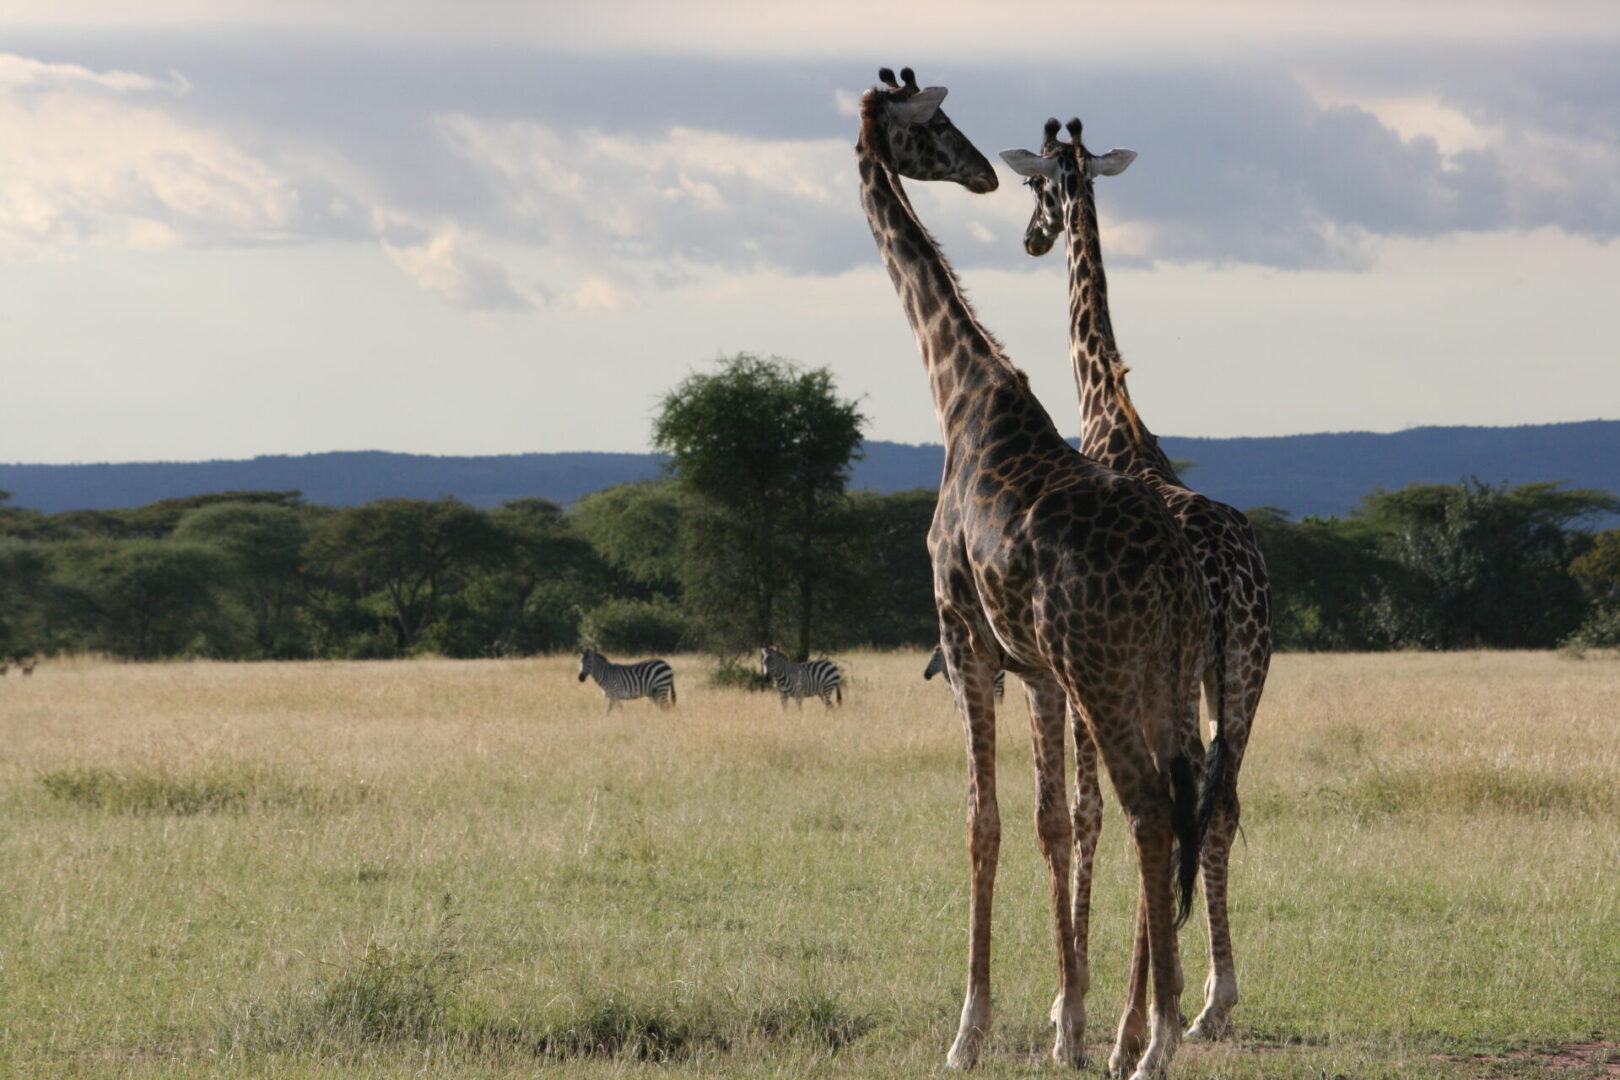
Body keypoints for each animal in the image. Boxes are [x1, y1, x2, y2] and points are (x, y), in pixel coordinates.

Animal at [855, 68, 1220, 1078]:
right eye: (939, 127)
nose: (980, 173)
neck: (960, 393)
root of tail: (1179, 578)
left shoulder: (963, 639)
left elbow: (983, 822)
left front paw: (970, 1030)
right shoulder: (1038, 671)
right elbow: (1053, 820)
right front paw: (1067, 1023)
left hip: (1106, 670)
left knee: (1150, 811)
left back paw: (1155, 1043)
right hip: (1163, 676)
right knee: (1186, 805)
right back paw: (1154, 1026)